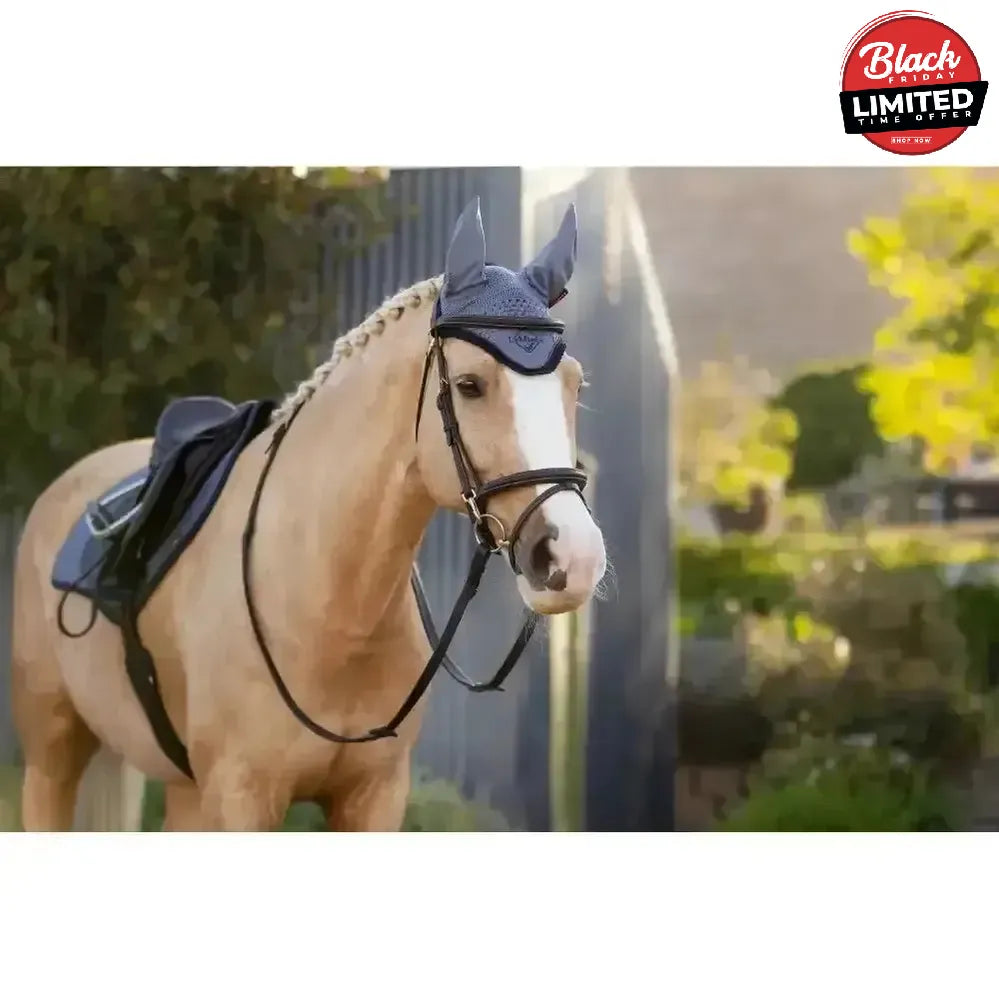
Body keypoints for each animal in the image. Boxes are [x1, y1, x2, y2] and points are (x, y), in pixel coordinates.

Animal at [9, 197, 608, 831]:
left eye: (575, 384)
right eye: (469, 384)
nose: (572, 555)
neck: (326, 602)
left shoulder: (374, 797)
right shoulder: (242, 797)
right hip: (53, 755)